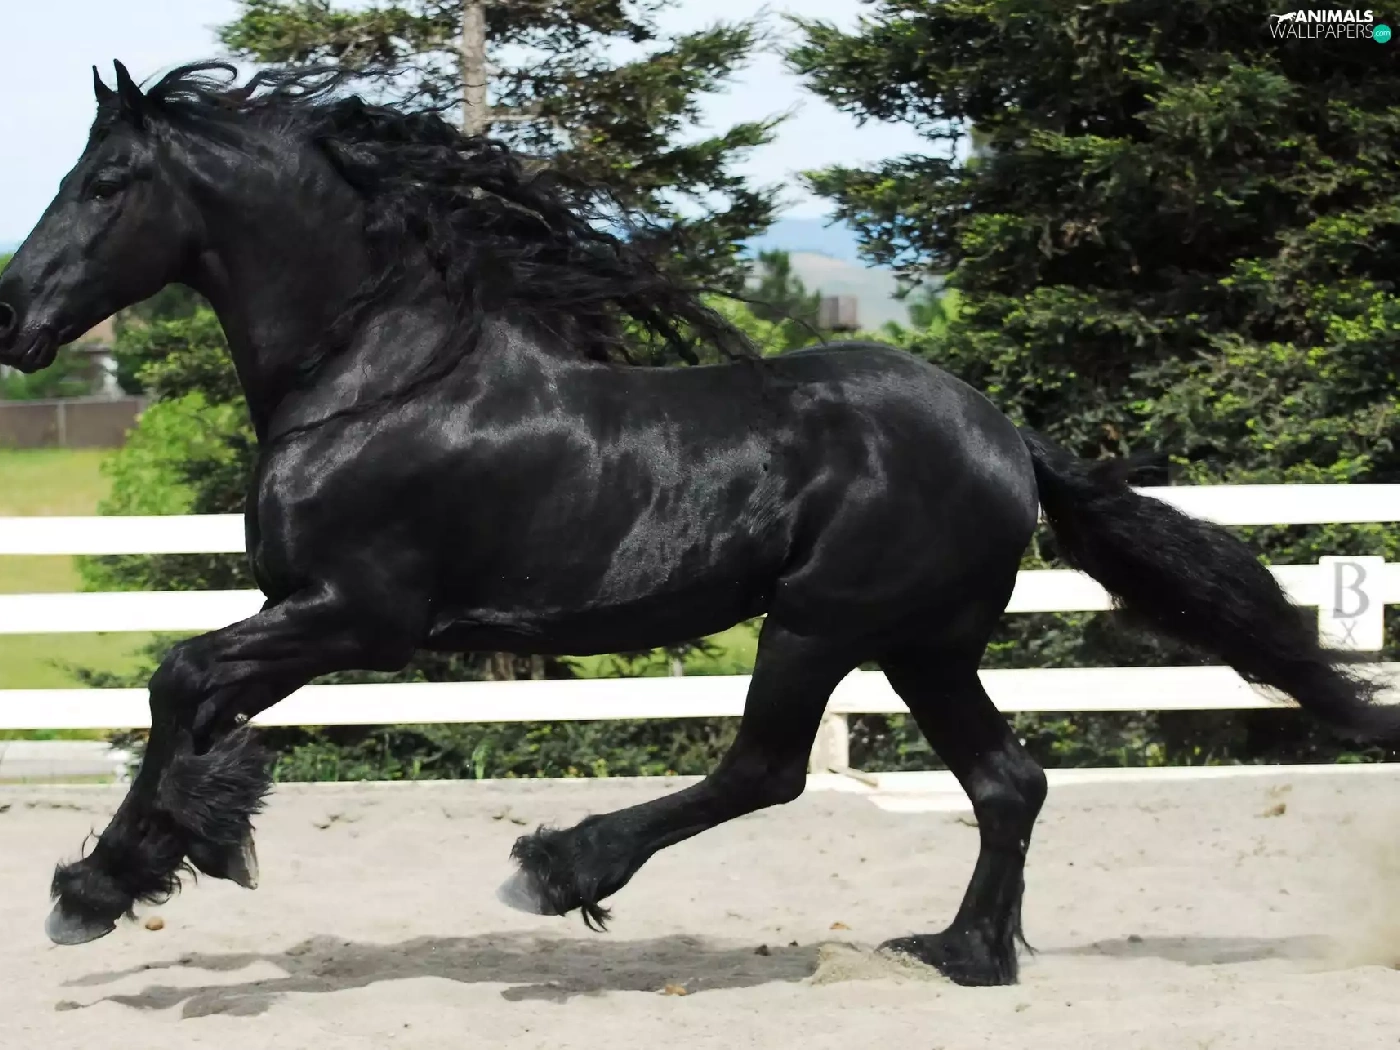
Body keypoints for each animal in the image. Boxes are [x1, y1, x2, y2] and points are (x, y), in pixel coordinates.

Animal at [1, 61, 1395, 988]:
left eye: (105, 181)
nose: (13, 317)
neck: (377, 376)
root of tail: (1005, 435)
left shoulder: (360, 615)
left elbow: (179, 682)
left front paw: (96, 889)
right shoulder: (309, 615)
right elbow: (197, 710)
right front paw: (178, 850)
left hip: (818, 622)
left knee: (767, 769)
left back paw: (558, 869)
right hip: (922, 644)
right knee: (1007, 781)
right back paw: (960, 952)